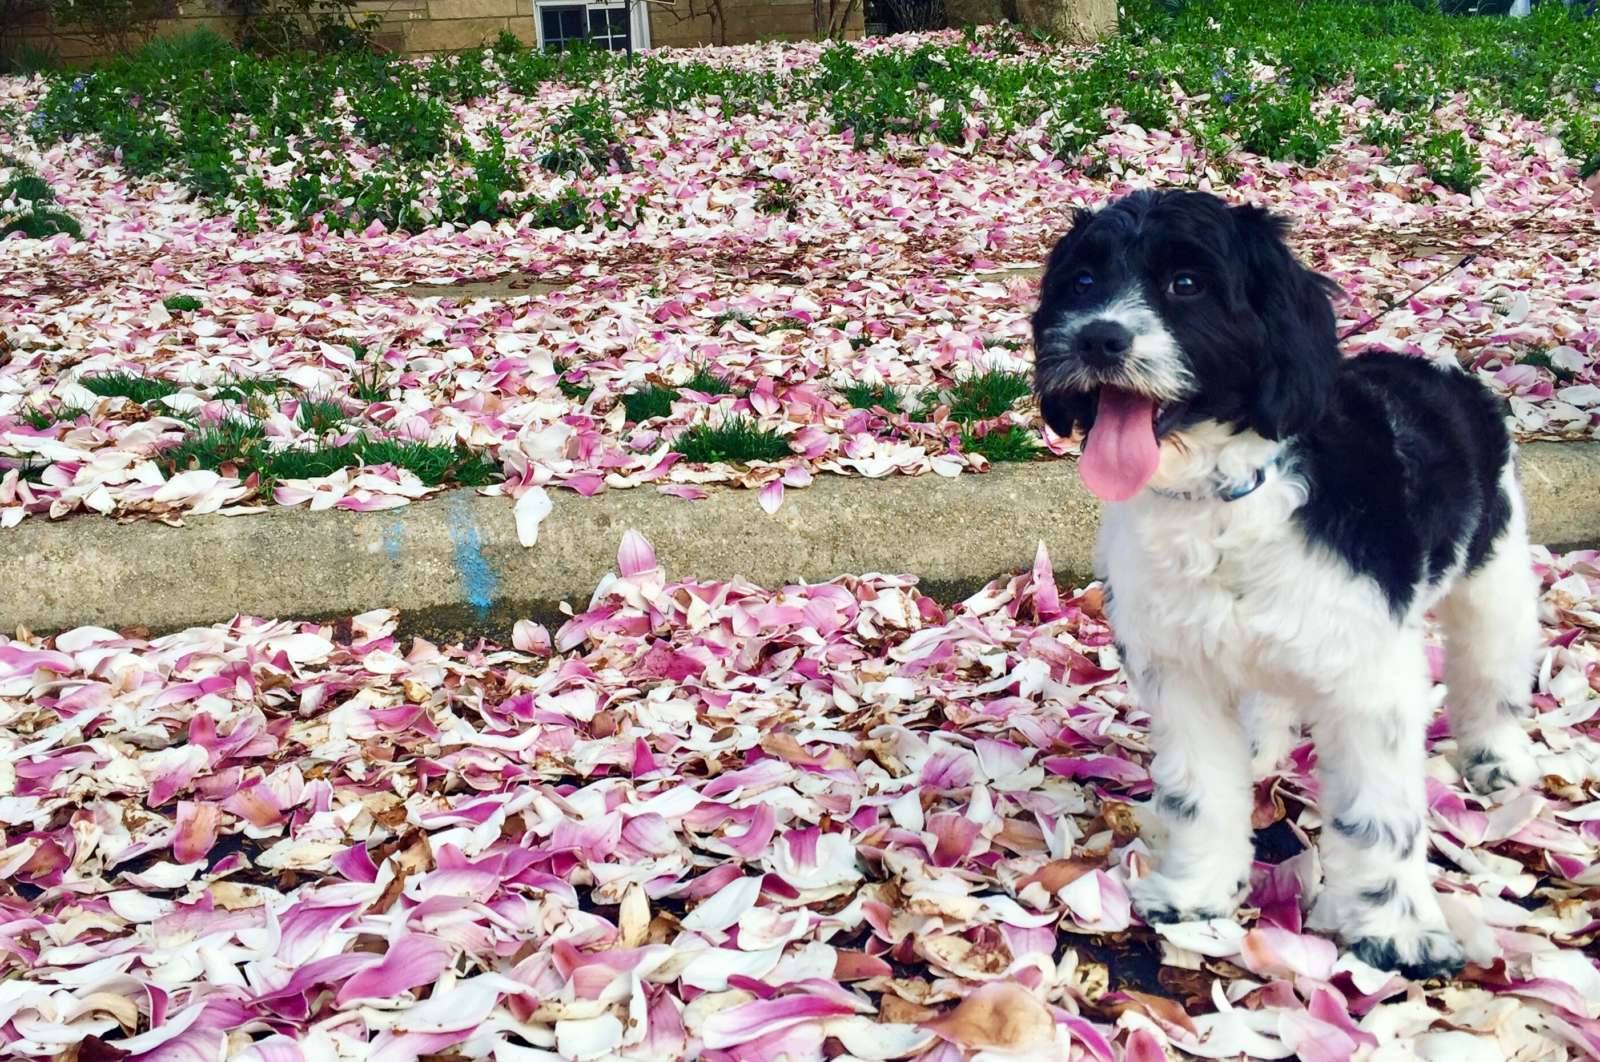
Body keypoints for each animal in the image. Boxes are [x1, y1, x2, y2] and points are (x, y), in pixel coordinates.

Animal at [1031, 189, 1543, 978]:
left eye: (1187, 283)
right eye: (1081, 283)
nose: (1097, 338)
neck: (1225, 495)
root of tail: (1445, 374)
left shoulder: (1370, 684)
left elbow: (1379, 816)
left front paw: (1396, 931)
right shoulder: (1180, 671)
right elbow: (1200, 793)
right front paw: (1198, 891)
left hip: (1494, 575)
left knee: (1491, 674)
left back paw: (1497, 759)